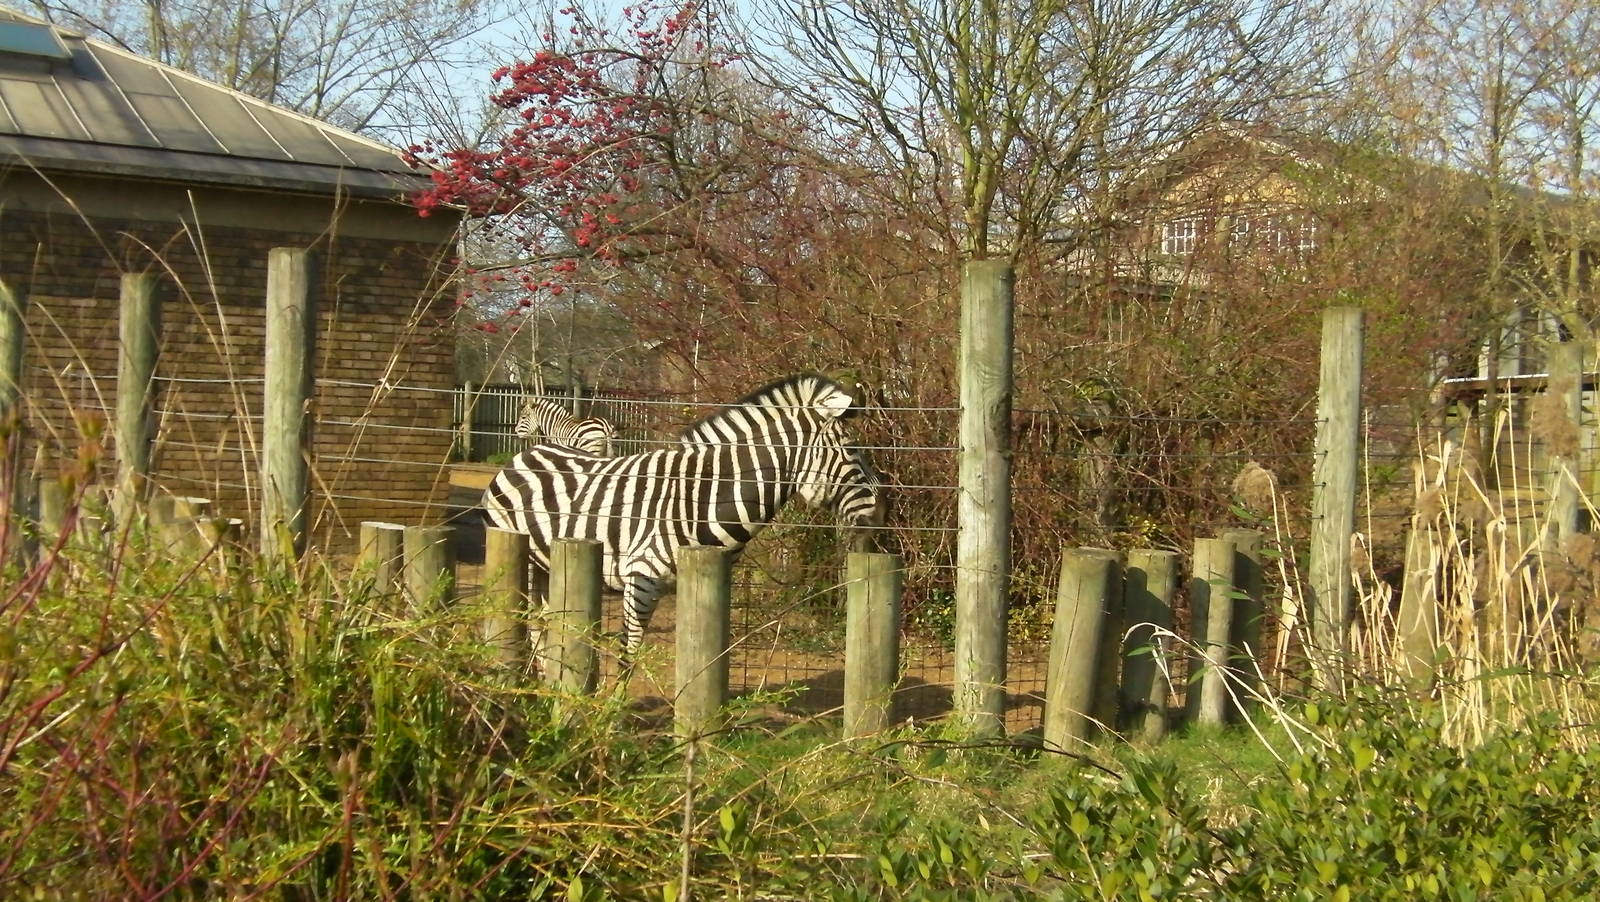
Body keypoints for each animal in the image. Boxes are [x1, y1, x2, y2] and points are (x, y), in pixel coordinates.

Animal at [481, 373, 887, 658]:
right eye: (851, 451)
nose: (884, 509)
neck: (702, 497)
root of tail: (524, 455)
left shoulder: (707, 579)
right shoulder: (641, 576)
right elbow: (630, 652)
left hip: (547, 563)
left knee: (542, 618)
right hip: (518, 555)